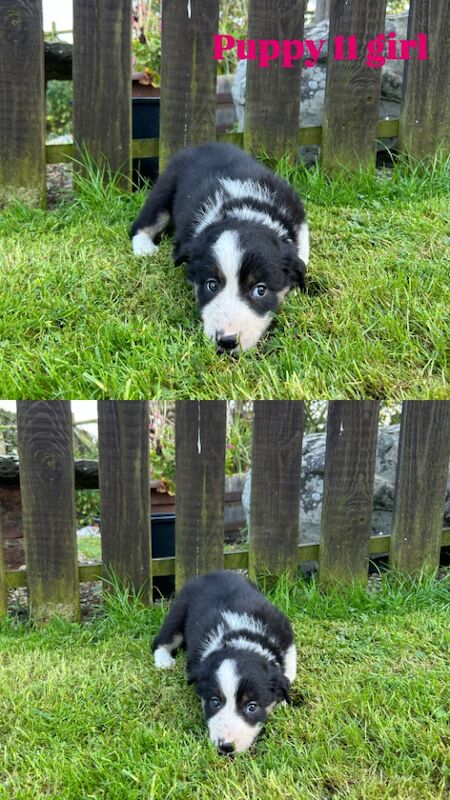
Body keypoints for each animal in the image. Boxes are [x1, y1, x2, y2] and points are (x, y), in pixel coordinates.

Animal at [131, 143, 310, 354]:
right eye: (212, 285)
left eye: (260, 290)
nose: (226, 342)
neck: (243, 211)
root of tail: (202, 146)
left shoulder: (300, 226)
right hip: (163, 190)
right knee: (141, 224)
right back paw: (144, 248)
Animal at [153, 572, 298, 752]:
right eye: (215, 702)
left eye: (252, 707)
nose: (226, 747)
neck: (241, 637)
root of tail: (213, 573)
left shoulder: (288, 643)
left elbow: (289, 675)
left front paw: (283, 700)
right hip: (178, 613)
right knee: (160, 640)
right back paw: (164, 661)